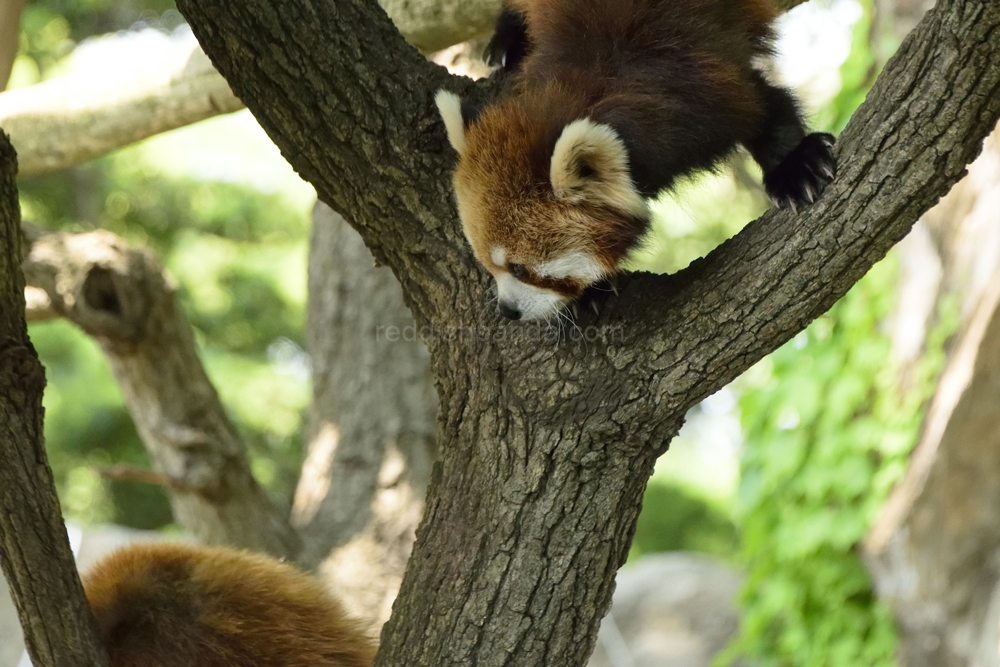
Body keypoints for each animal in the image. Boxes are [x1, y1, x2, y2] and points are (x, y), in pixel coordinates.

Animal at [438, 0, 836, 324]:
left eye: (520, 268)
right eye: (487, 263)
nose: (508, 311)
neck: (597, 84)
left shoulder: (703, 84)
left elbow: (763, 105)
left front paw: (795, 166)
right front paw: (593, 289)